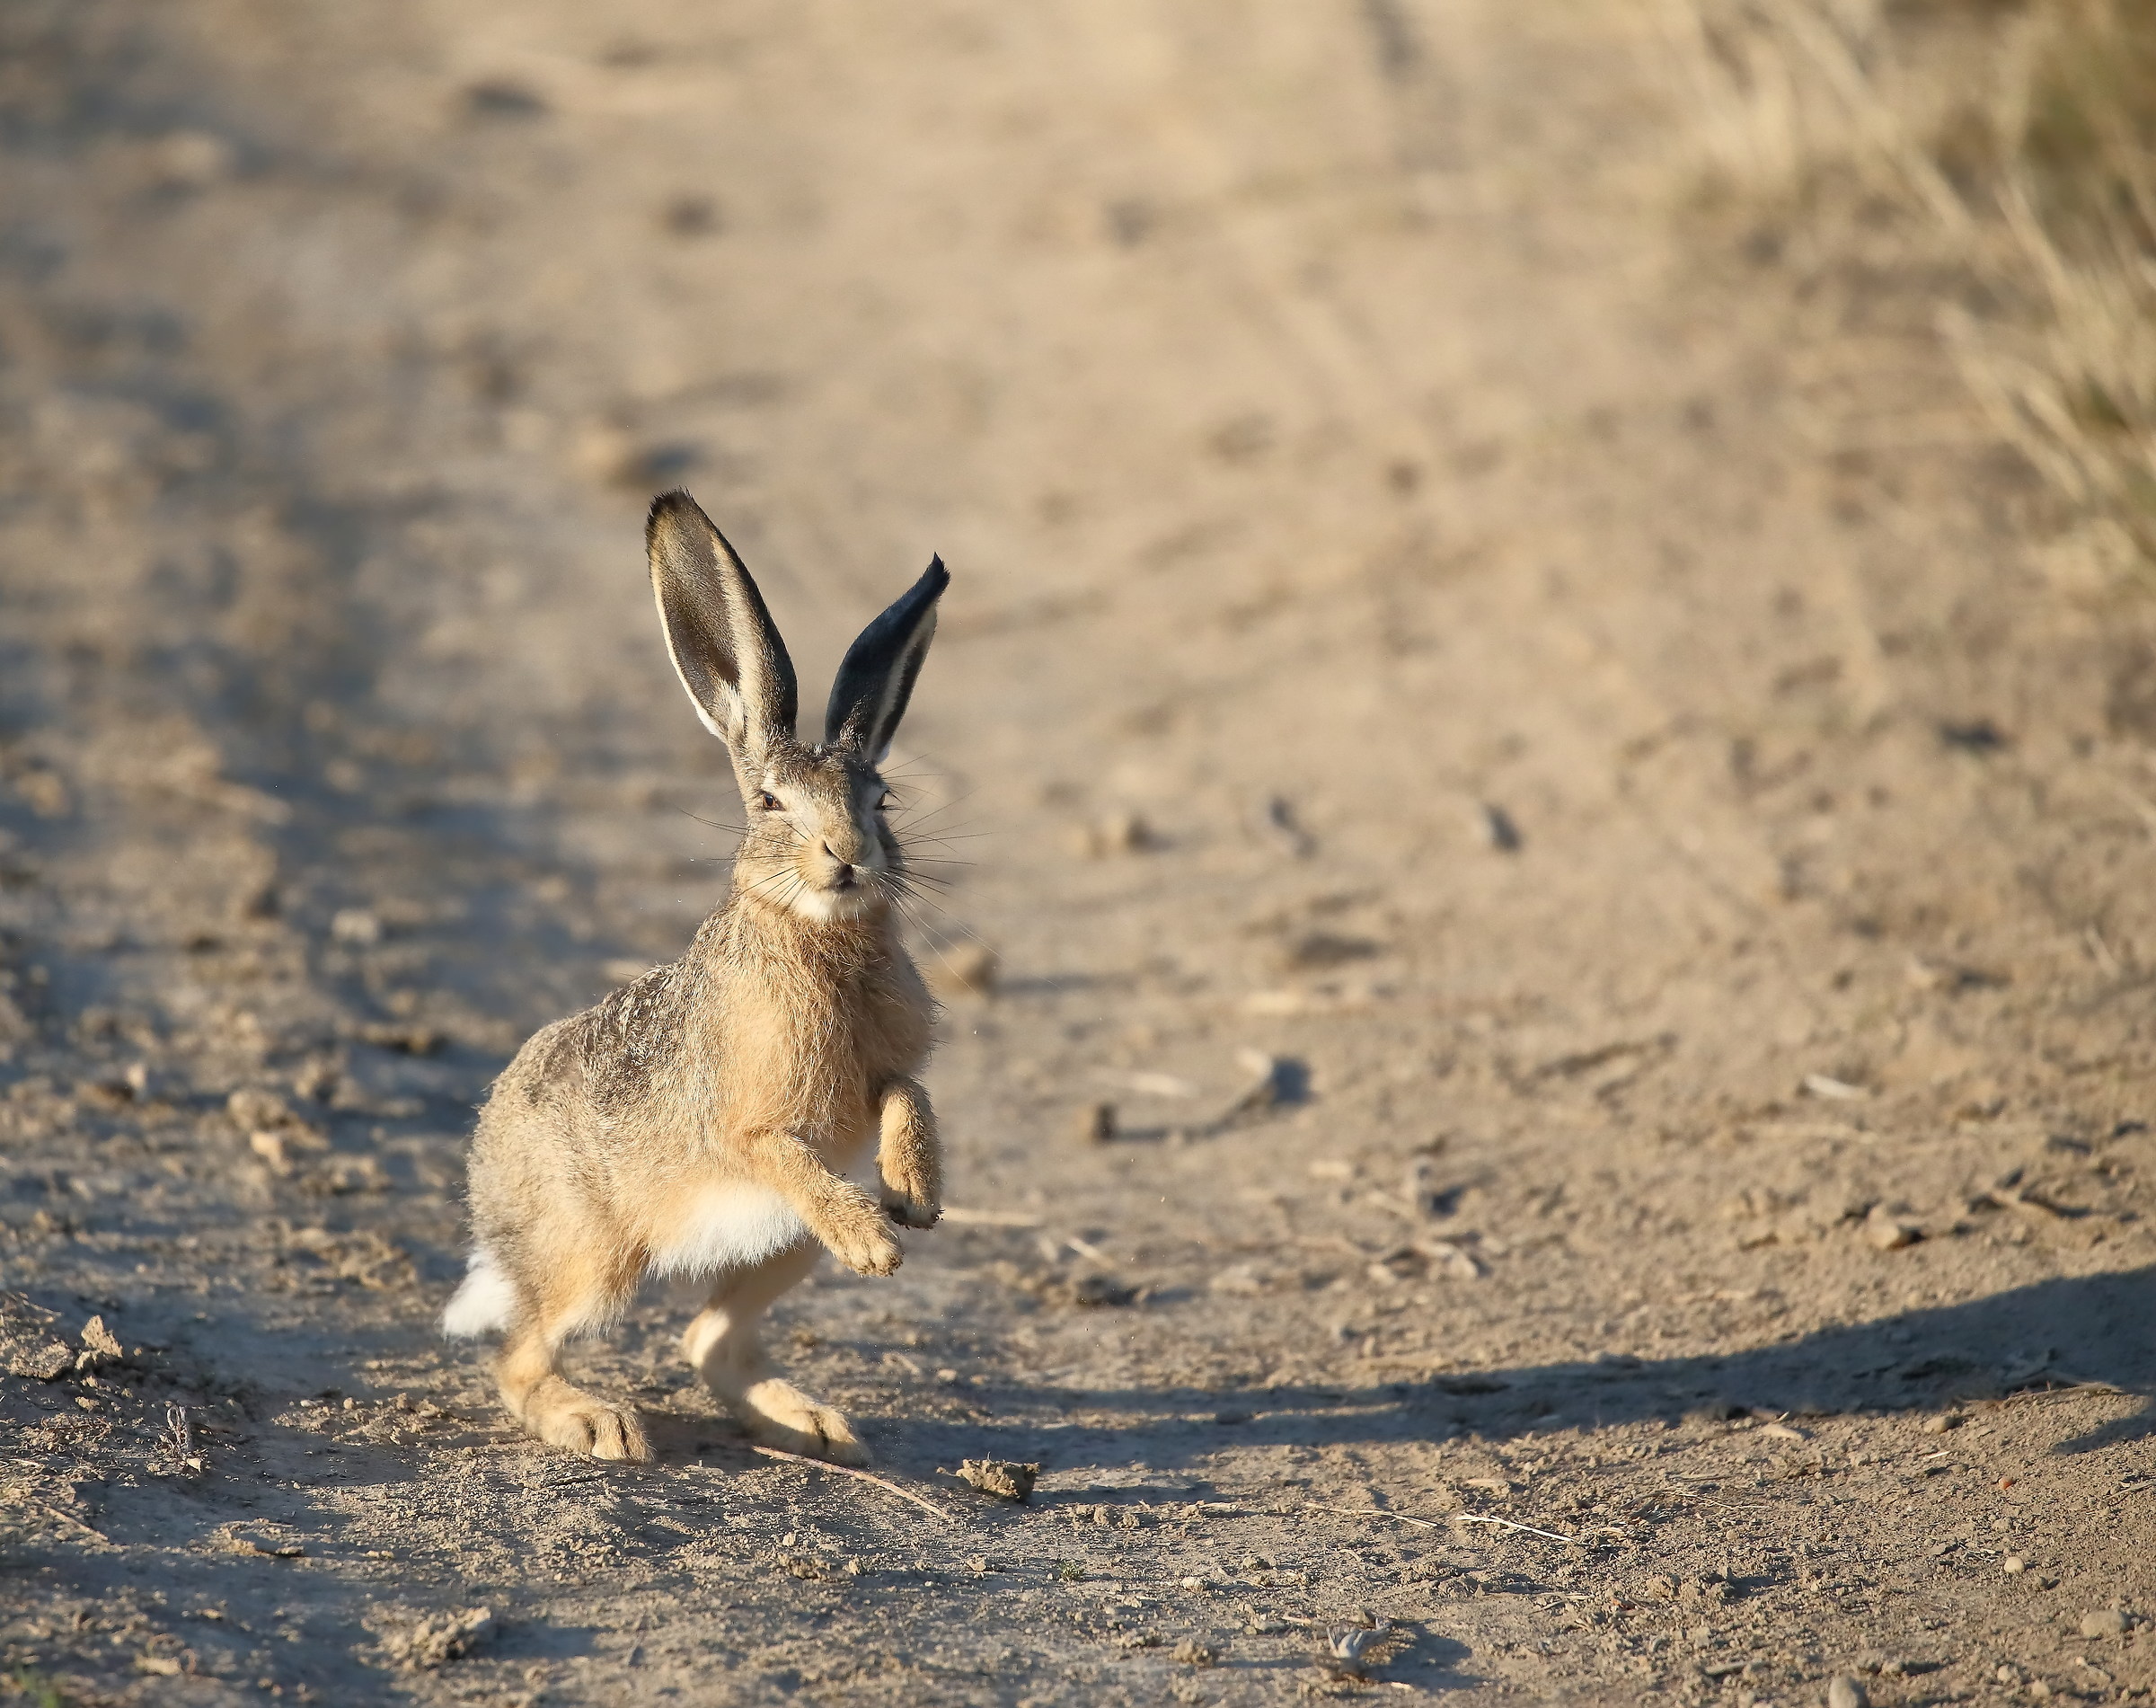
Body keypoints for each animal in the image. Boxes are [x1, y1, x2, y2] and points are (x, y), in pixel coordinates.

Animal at [441, 489, 949, 1465]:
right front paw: (876, 1243)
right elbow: (775, 1146)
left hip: (781, 1247)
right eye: (771, 804)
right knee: (519, 1355)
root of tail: (491, 1205)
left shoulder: (882, 1078)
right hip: (598, 1262)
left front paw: (914, 1196)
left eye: (883, 801)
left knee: (706, 1340)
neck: (818, 937)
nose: (848, 854)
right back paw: (599, 1422)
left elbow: (908, 1094)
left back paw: (815, 1425)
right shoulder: (747, 1127)